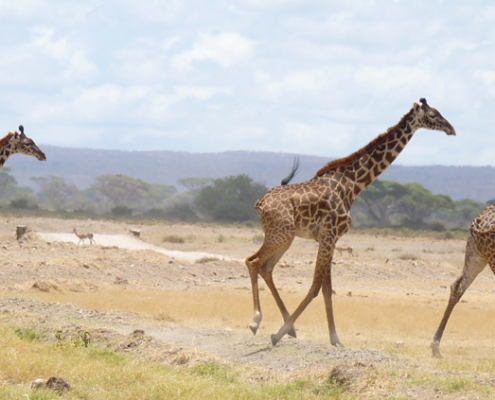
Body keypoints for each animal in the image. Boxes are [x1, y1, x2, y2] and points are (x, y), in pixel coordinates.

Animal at [246, 98, 456, 346]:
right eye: (433, 115)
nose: (451, 129)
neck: (354, 184)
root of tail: (261, 202)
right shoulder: (329, 235)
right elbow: (316, 286)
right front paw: (279, 333)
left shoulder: (330, 238)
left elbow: (326, 289)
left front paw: (334, 338)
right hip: (281, 234)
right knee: (254, 262)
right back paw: (257, 321)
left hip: (284, 237)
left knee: (264, 266)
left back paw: (285, 326)